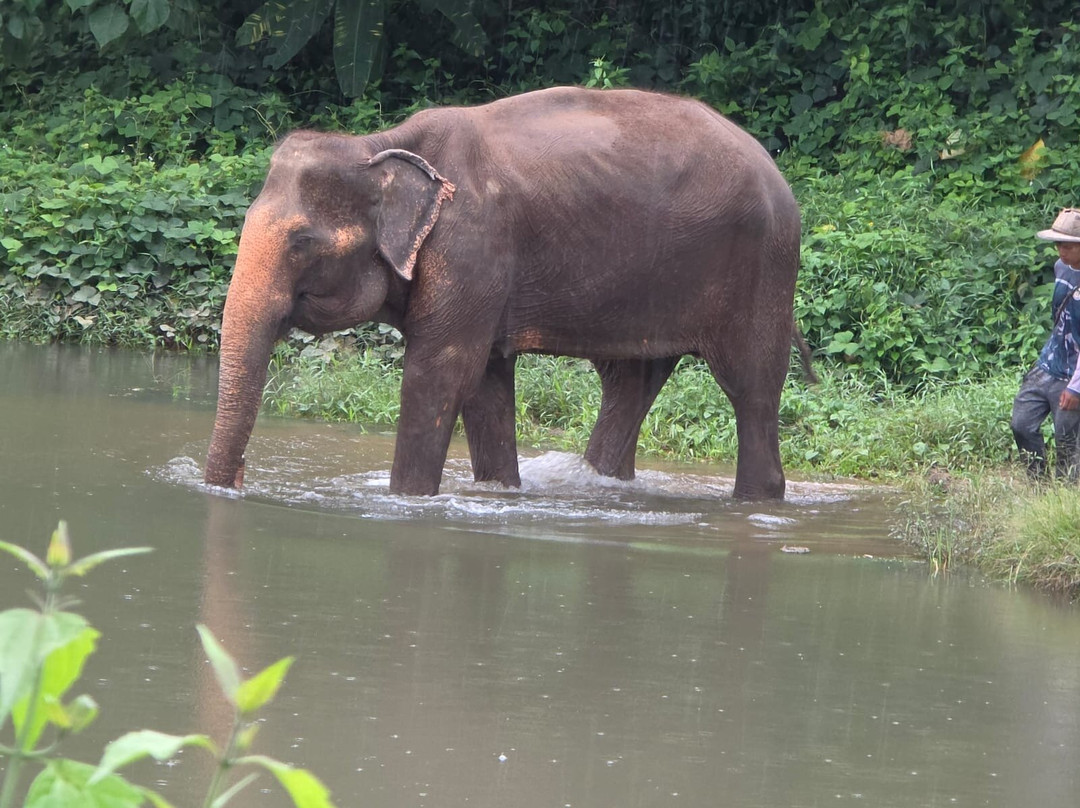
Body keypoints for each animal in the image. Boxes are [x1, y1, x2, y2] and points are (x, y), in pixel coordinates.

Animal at [204, 86, 804, 500]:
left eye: (302, 242)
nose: (238, 481)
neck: (381, 145)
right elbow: (485, 382)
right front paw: (499, 492)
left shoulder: (472, 245)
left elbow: (442, 372)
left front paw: (408, 501)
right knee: (630, 379)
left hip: (764, 266)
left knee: (750, 386)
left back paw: (757, 498)